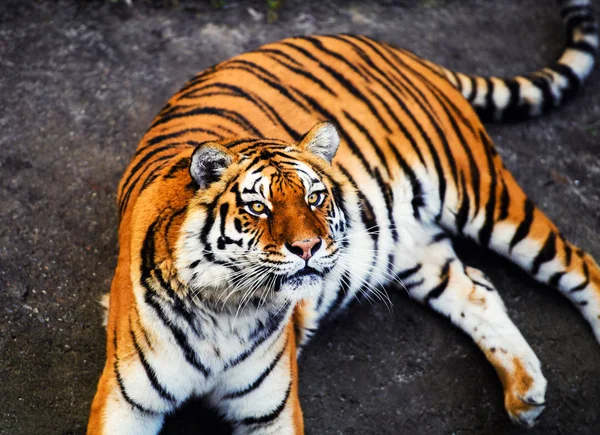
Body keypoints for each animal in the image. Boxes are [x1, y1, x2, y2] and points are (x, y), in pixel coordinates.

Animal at [89, 0, 600, 432]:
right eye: (258, 207)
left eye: (315, 198)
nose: (308, 247)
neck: (226, 312)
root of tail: (404, 52)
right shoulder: (123, 401)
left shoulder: (272, 408)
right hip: (411, 245)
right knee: (478, 288)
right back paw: (525, 393)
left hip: (483, 195)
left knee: (580, 264)